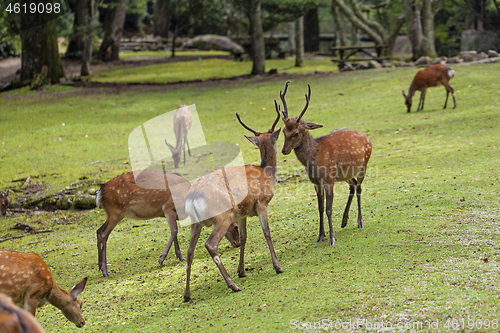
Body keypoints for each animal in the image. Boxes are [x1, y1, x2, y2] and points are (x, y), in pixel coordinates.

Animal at [96, 170, 241, 276]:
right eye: (235, 226)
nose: (238, 243)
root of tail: (99, 193)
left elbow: (175, 231)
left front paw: (180, 256)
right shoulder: (168, 207)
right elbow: (174, 230)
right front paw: (161, 258)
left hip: (111, 214)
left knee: (98, 231)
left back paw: (100, 267)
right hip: (116, 212)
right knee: (104, 234)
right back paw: (105, 271)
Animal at [183, 108, 286, 300]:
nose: (284, 151)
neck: (266, 174)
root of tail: (192, 196)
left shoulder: (242, 214)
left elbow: (244, 238)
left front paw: (242, 271)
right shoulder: (261, 203)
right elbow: (267, 233)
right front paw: (278, 267)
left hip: (195, 222)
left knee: (189, 252)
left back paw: (186, 295)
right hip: (223, 215)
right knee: (210, 245)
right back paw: (233, 285)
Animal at [280, 81, 374, 245]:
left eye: (296, 133)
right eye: (284, 132)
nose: (284, 150)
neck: (314, 160)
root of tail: (368, 139)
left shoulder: (328, 179)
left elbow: (329, 209)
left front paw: (332, 239)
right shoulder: (316, 182)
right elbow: (320, 208)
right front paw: (320, 236)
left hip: (363, 166)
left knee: (359, 188)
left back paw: (360, 222)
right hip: (345, 173)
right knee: (353, 185)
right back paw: (344, 221)